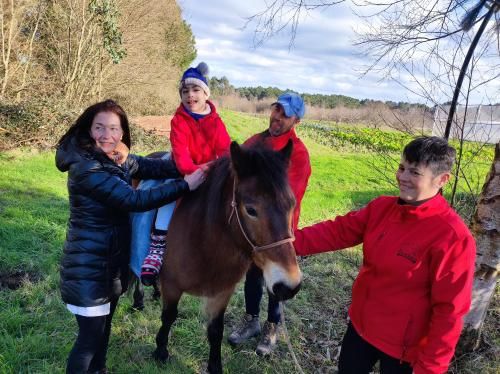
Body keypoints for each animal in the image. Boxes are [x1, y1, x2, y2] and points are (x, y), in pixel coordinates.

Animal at [152, 141, 300, 374]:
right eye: (250, 210)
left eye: (292, 204)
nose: (289, 285)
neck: (204, 241)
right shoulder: (172, 285)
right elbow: (168, 317)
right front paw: (160, 351)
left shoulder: (221, 293)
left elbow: (215, 331)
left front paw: (215, 366)